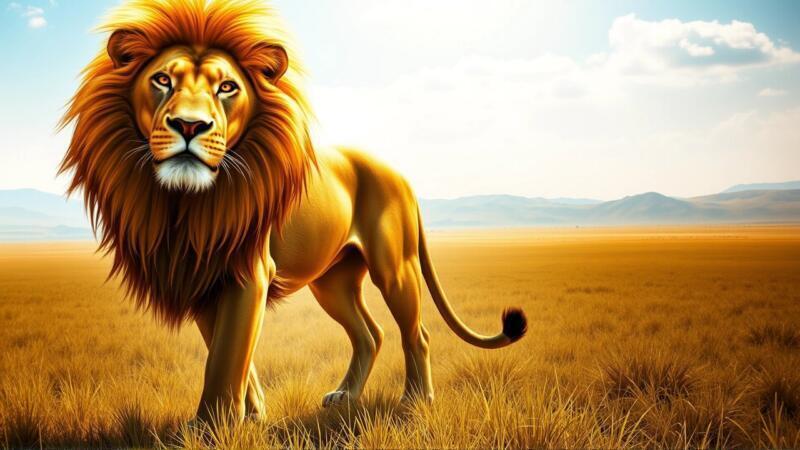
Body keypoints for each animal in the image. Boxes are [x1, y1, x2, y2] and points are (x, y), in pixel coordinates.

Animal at [59, 0, 527, 423]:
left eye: (227, 87)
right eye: (161, 80)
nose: (190, 126)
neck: (185, 204)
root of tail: (401, 176)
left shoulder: (248, 273)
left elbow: (226, 357)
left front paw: (209, 427)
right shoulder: (201, 276)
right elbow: (233, 353)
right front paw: (251, 415)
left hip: (394, 267)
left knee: (418, 333)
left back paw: (416, 401)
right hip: (333, 281)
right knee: (370, 334)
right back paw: (345, 396)